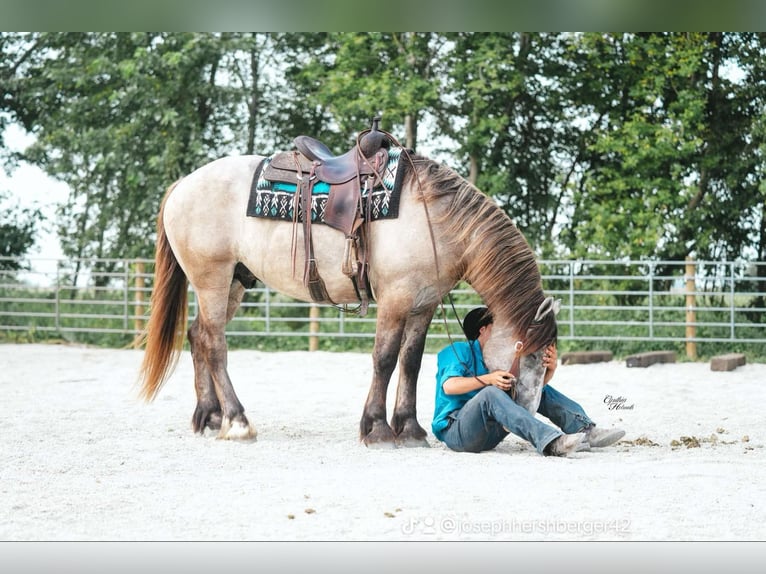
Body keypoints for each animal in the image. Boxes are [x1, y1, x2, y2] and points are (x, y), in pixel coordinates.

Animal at [137, 138, 559, 448]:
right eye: (528, 353)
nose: (526, 408)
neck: (434, 219)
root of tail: (183, 184)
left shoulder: (422, 305)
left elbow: (411, 362)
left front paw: (410, 428)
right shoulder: (395, 300)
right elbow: (385, 359)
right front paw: (377, 429)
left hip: (235, 283)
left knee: (197, 336)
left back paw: (211, 417)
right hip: (212, 279)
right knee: (214, 344)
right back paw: (238, 421)